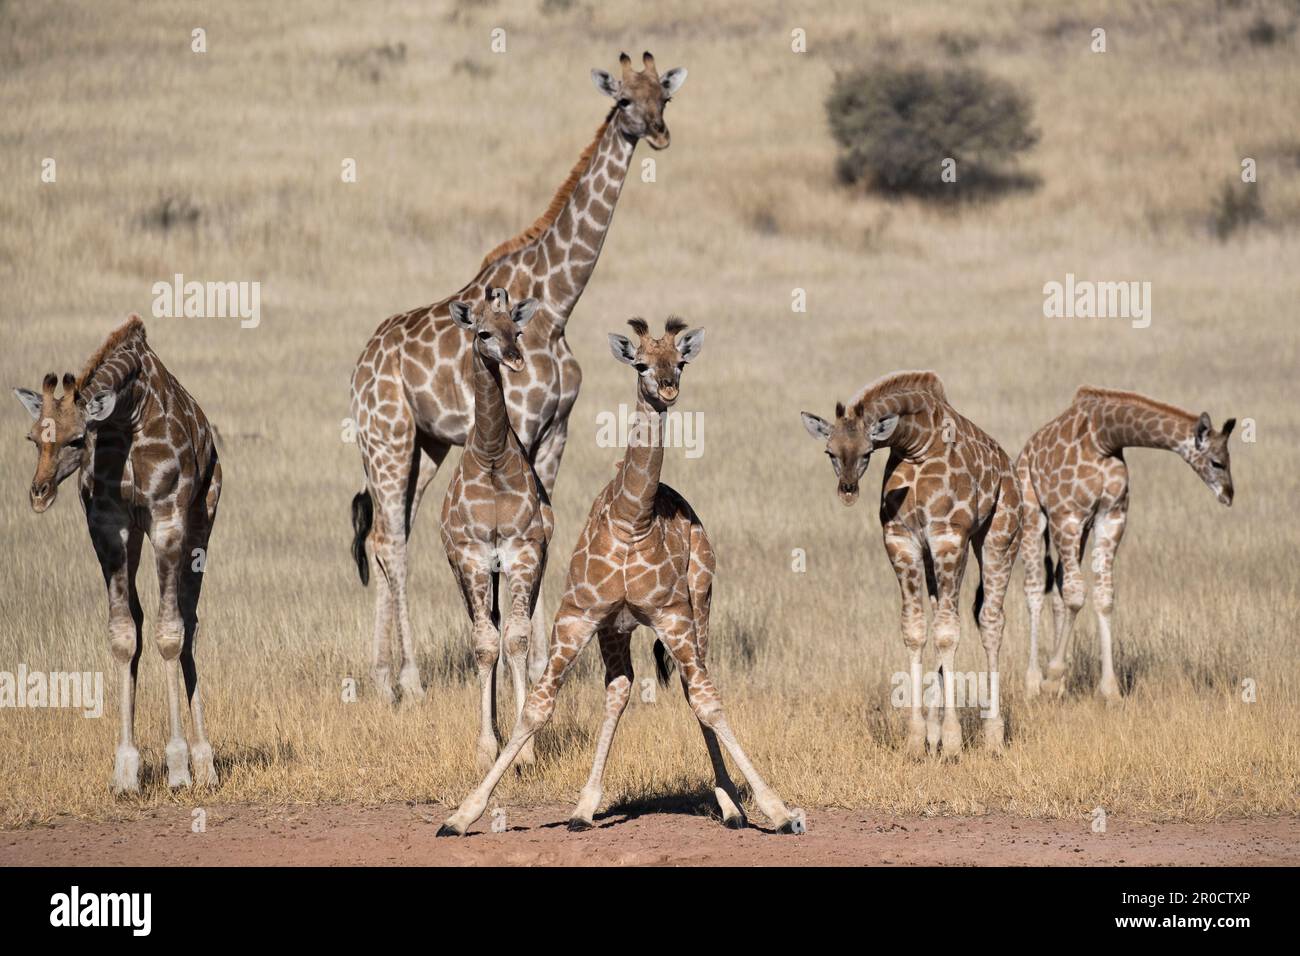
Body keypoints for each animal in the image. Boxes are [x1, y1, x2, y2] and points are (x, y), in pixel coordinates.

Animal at [12, 315, 222, 794]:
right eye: (33, 438)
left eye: (76, 440)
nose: (39, 494)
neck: (129, 414)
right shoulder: (108, 525)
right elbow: (125, 634)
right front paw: (125, 770)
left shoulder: (166, 517)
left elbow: (170, 632)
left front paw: (178, 767)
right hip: (137, 537)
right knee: (147, 620)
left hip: (201, 521)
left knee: (189, 620)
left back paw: (205, 762)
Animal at [349, 51, 688, 704]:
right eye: (624, 101)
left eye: (664, 96)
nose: (660, 134)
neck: (557, 303)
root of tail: (361, 365)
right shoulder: (525, 424)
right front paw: (520, 678)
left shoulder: (557, 430)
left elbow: (543, 529)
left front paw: (532, 671)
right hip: (387, 438)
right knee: (392, 542)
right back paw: (408, 682)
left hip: (427, 445)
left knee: (383, 535)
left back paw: (382, 678)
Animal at [437, 318, 806, 836]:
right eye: (641, 364)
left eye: (681, 360)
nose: (668, 387)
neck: (633, 519)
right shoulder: (578, 616)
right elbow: (538, 707)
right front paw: (462, 814)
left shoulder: (672, 616)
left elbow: (709, 703)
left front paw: (778, 809)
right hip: (615, 628)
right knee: (620, 688)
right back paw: (584, 807)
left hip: (700, 604)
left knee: (693, 688)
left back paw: (731, 805)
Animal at [801, 372, 1021, 755]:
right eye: (830, 452)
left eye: (867, 452)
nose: (847, 490)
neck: (916, 445)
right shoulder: (902, 541)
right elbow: (916, 631)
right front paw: (918, 739)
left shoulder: (949, 537)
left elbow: (948, 633)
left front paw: (952, 741)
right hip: (935, 560)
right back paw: (934, 732)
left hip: (999, 539)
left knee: (991, 621)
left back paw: (993, 737)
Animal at [1017, 387, 1236, 701]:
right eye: (1217, 462)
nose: (1229, 495)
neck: (1103, 438)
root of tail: (1027, 449)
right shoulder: (1066, 516)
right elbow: (1076, 595)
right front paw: (1051, 677)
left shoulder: (1111, 517)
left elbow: (1103, 596)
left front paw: (1109, 690)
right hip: (1034, 515)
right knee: (1035, 589)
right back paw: (1034, 682)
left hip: (1080, 532)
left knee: (1058, 587)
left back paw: (1060, 686)